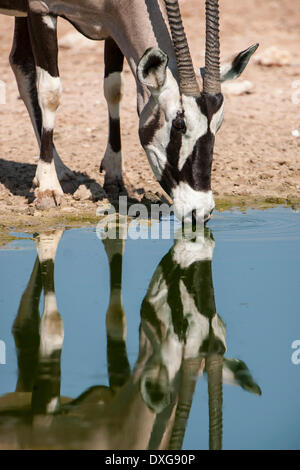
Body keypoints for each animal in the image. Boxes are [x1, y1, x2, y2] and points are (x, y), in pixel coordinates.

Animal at [1, 0, 258, 220]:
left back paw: (60, 169)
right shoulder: (41, 10)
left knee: (20, 62)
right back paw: (56, 172)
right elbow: (51, 93)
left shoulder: (112, 25)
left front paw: (115, 177)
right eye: (178, 123)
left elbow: (114, 88)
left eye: (218, 125)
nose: (200, 210)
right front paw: (47, 190)